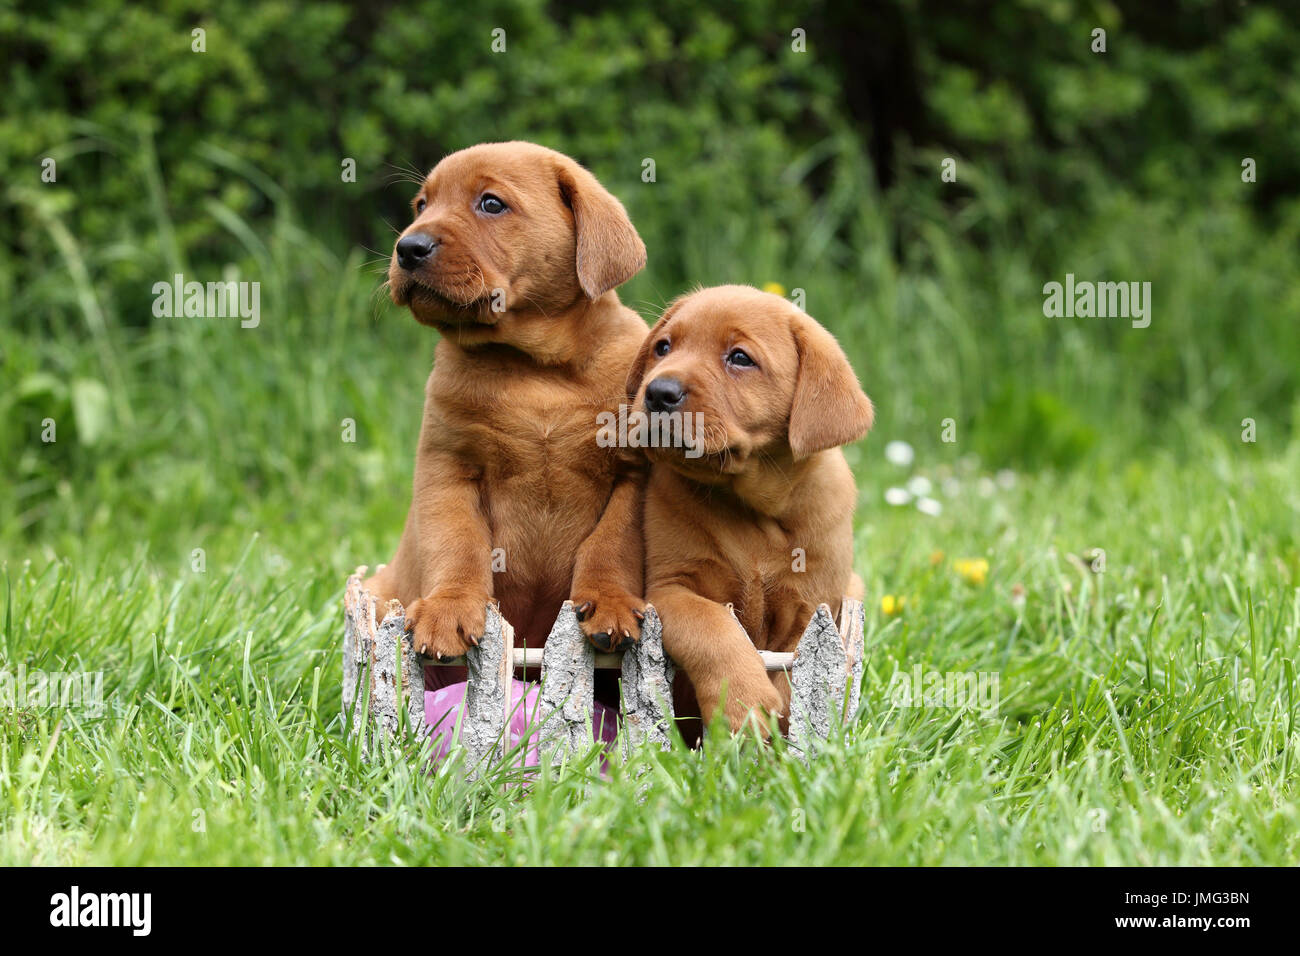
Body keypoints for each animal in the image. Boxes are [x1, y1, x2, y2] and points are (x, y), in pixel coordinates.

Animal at [366, 141, 650, 681]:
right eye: (421, 205)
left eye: (491, 204)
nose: (407, 248)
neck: (534, 370)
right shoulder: (448, 467)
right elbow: (458, 545)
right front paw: (449, 609)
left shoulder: (633, 472)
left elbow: (610, 547)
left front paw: (609, 602)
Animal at [621, 287, 868, 738]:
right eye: (663, 347)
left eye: (739, 358)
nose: (658, 392)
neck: (751, 507)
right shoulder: (670, 588)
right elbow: (713, 629)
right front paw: (744, 702)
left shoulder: (815, 607)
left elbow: (793, 675)